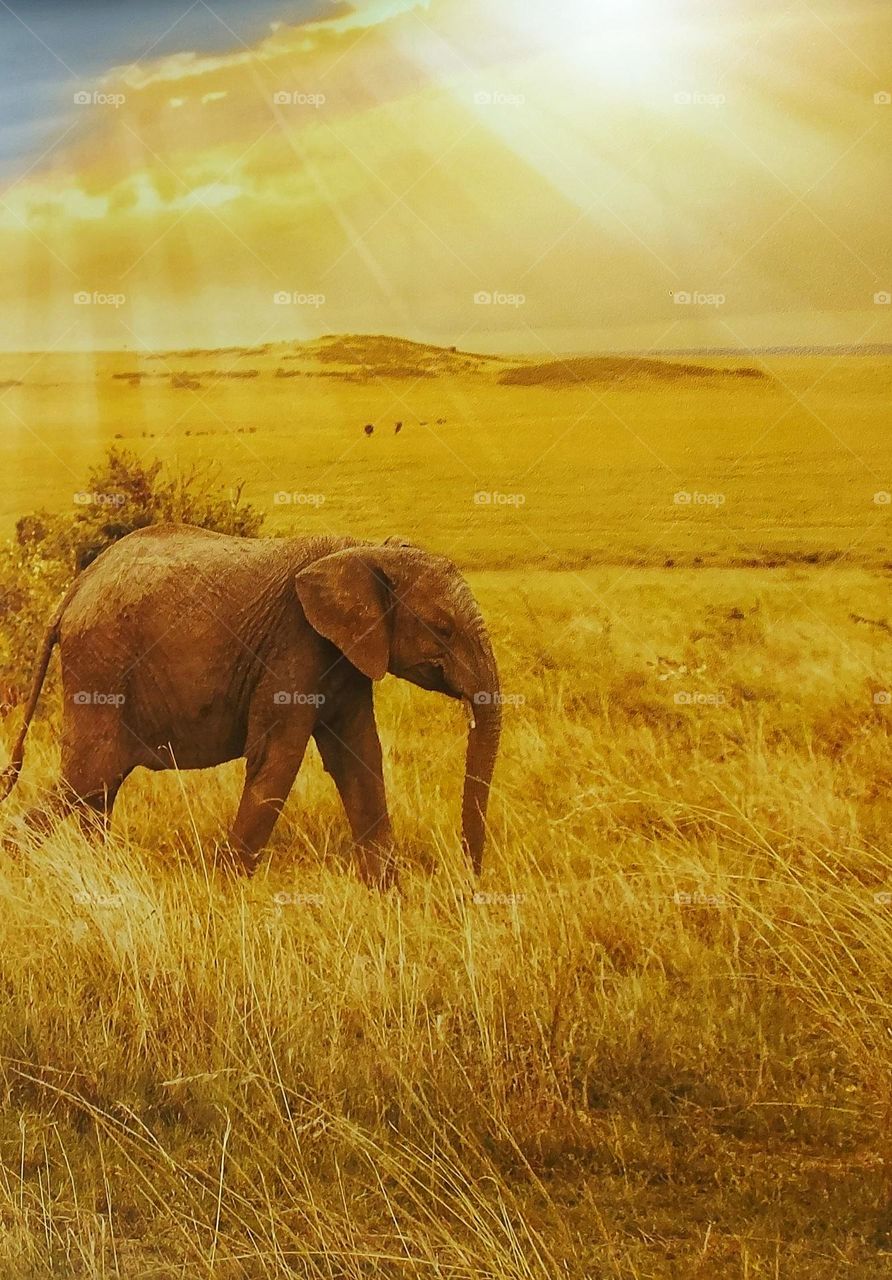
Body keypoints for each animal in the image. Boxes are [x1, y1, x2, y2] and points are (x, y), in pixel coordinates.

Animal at [0, 524, 501, 885]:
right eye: (443, 629)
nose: (468, 883)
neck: (366, 551)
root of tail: (72, 592)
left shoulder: (346, 655)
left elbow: (359, 756)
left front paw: (388, 894)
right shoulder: (294, 643)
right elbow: (279, 757)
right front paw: (228, 890)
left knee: (97, 788)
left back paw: (101, 870)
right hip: (101, 664)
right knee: (86, 779)